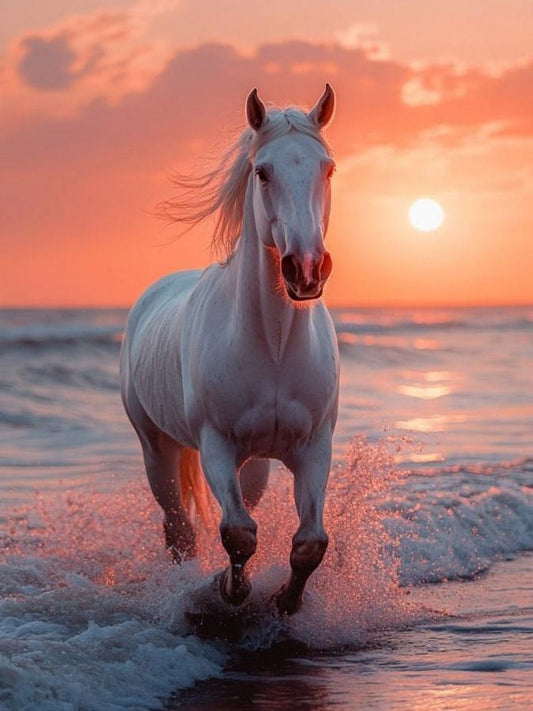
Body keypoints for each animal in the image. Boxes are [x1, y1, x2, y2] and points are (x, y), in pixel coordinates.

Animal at [120, 85, 340, 615]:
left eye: (328, 169)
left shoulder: (314, 446)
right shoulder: (215, 445)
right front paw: (230, 590)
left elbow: (310, 542)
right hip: (156, 449)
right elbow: (238, 533)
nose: (306, 269)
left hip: (255, 464)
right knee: (179, 528)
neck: (274, 347)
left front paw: (286, 600)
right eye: (263, 172)